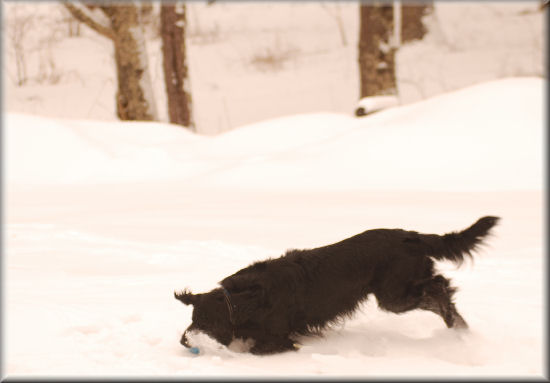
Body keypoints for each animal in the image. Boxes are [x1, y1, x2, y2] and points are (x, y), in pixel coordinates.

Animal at [176, 218, 500, 356]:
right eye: (191, 319)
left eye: (204, 321)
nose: (183, 341)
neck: (245, 300)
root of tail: (412, 235)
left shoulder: (278, 335)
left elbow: (259, 348)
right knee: (438, 289)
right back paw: (458, 327)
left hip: (394, 294)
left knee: (439, 287)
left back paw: (455, 324)